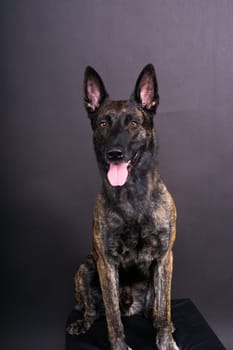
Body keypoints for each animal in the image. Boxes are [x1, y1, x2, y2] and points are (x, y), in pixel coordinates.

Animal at [66, 63, 179, 350]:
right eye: (103, 123)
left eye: (133, 123)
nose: (115, 153)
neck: (132, 195)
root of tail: (132, 306)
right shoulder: (106, 263)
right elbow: (113, 317)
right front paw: (118, 345)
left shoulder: (164, 257)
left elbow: (164, 309)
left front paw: (166, 341)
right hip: (85, 269)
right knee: (93, 310)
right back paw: (82, 322)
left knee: (156, 308)